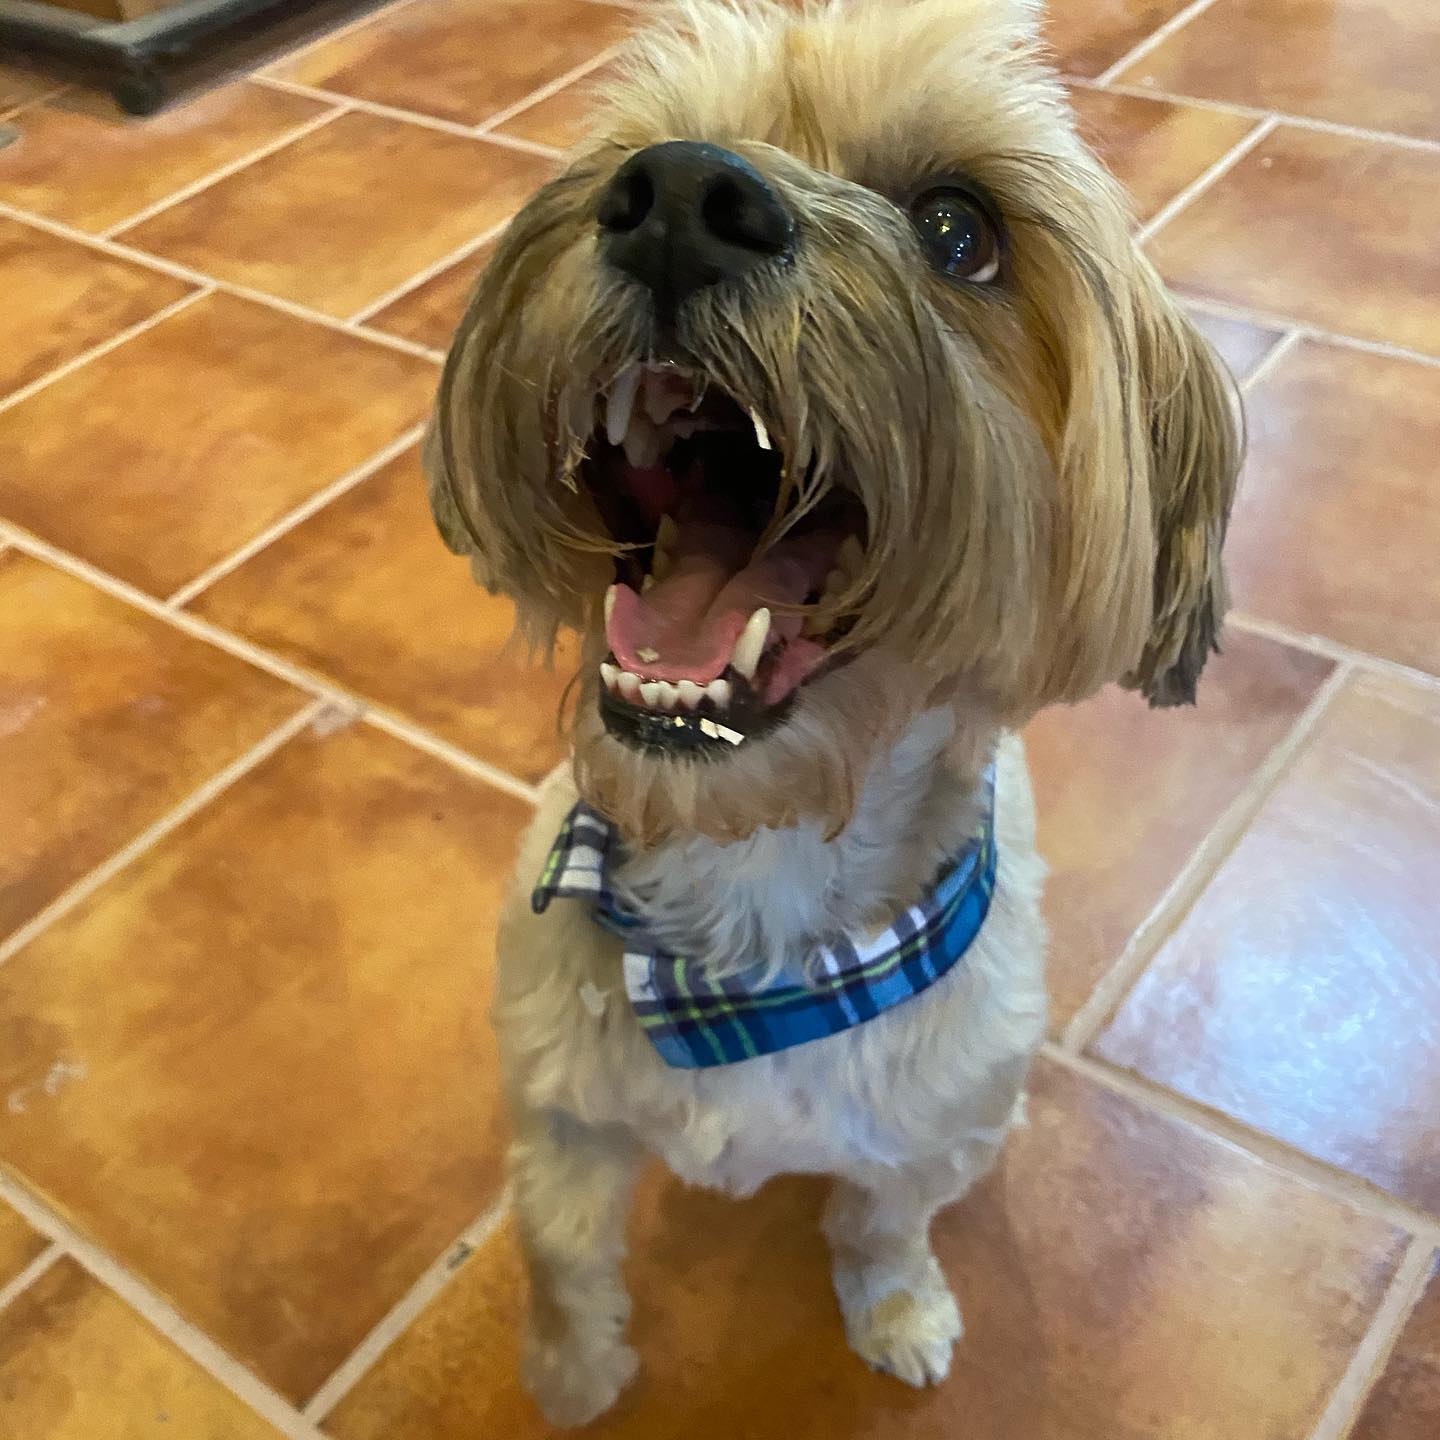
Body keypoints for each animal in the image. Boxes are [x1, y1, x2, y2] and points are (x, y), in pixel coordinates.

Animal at [426, 0, 1240, 1424]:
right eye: (633, 153)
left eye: (959, 230)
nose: (678, 198)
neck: (753, 898)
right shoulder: (555, 1106)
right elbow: (558, 1251)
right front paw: (572, 1375)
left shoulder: (929, 1132)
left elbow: (884, 1220)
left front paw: (899, 1311)